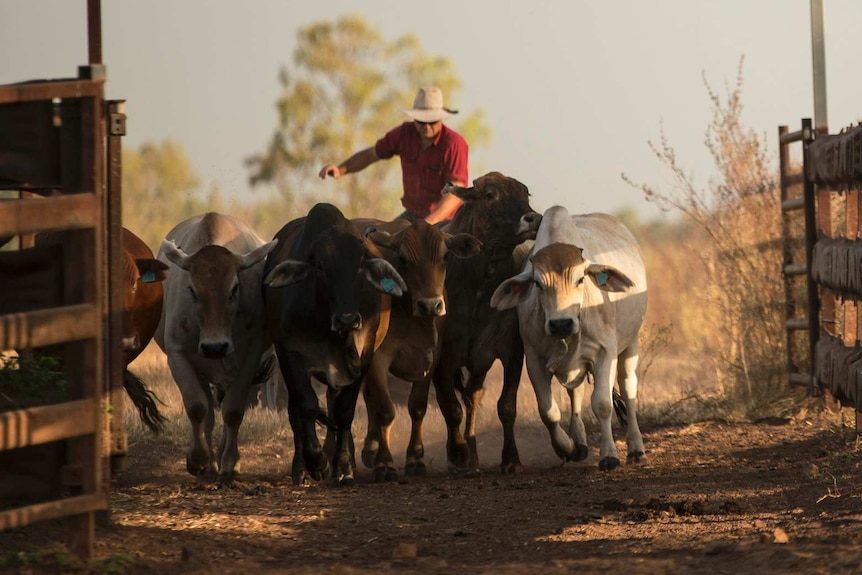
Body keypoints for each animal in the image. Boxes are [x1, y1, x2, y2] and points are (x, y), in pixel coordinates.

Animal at [264, 202, 408, 486]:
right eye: (320, 267)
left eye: (360, 265)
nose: (347, 319)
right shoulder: (290, 353)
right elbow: (306, 406)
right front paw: (316, 461)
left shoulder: (363, 357)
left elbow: (344, 411)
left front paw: (343, 467)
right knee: (296, 412)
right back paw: (301, 469)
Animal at [492, 205, 648, 470]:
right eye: (537, 284)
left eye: (581, 279)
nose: (561, 323)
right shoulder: (533, 359)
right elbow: (548, 411)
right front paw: (566, 447)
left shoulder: (606, 352)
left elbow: (602, 404)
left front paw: (609, 455)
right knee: (575, 394)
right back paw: (580, 442)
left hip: (631, 345)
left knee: (629, 390)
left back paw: (636, 448)